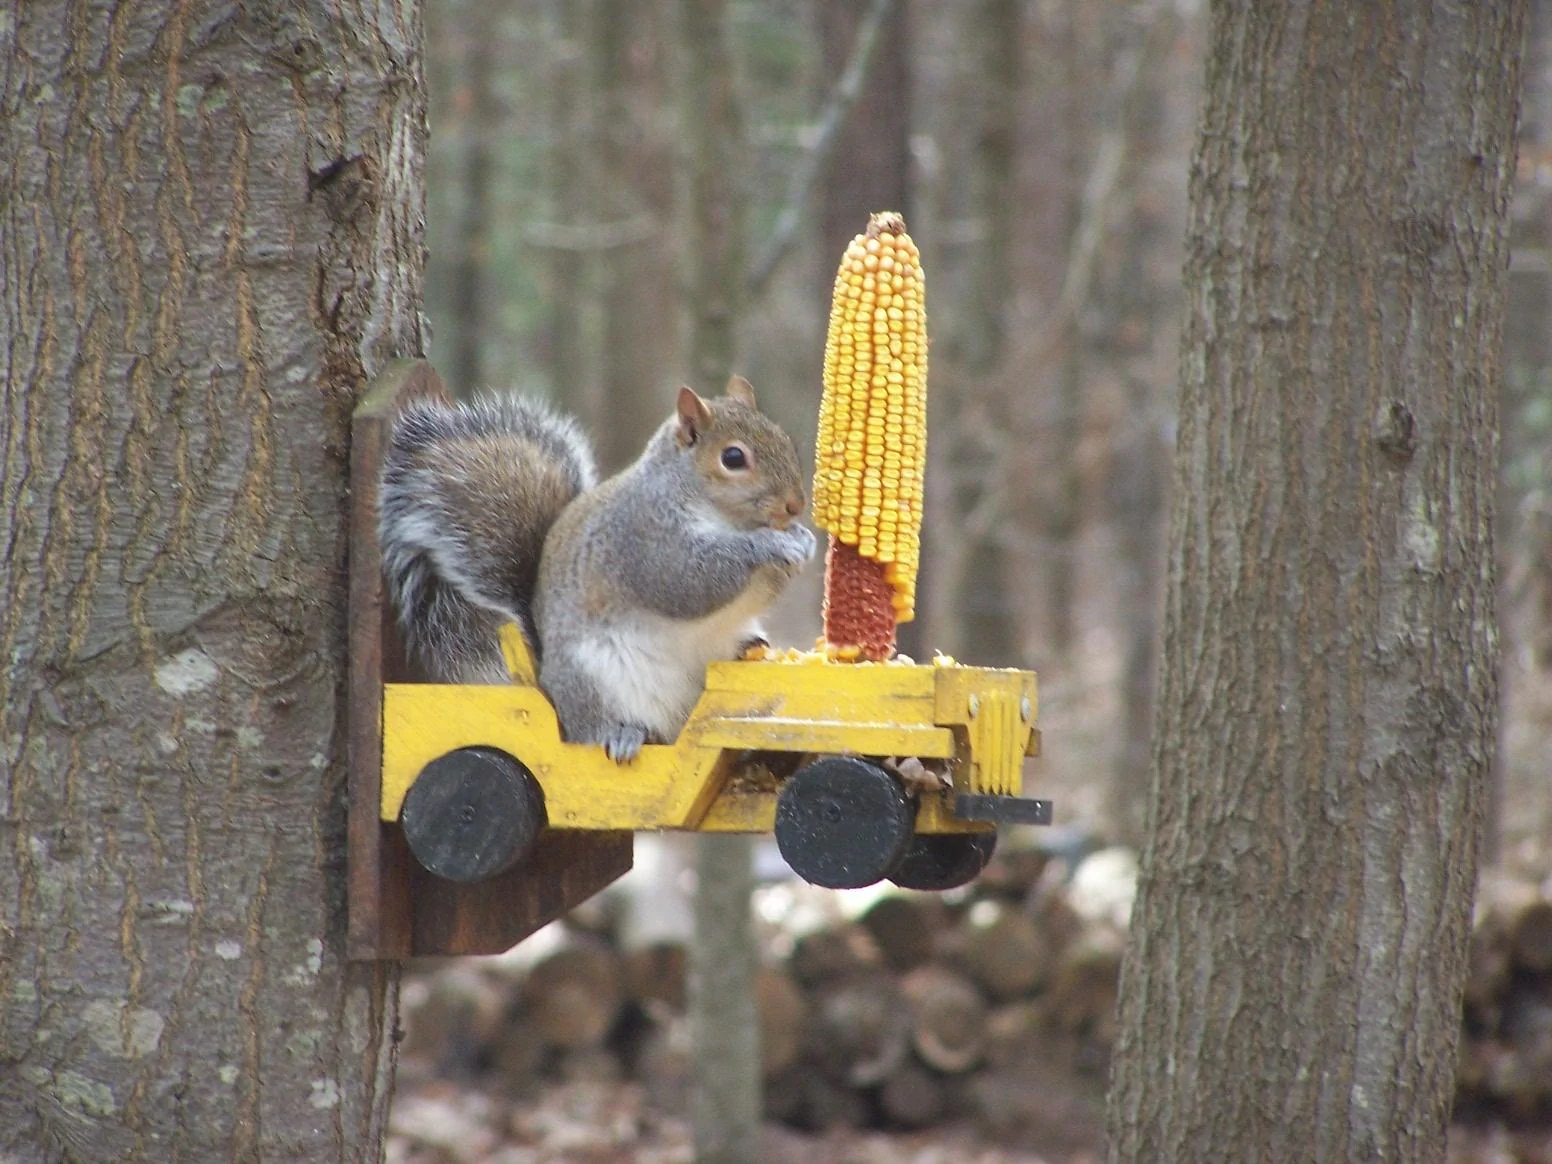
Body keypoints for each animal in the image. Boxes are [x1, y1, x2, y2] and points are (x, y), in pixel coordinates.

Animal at [378, 375, 816, 762]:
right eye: (733, 458)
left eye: (784, 440)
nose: (795, 505)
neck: (722, 516)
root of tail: (549, 690)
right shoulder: (642, 541)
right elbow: (688, 584)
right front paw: (769, 544)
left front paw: (803, 541)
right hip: (595, 679)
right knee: (594, 731)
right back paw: (622, 735)